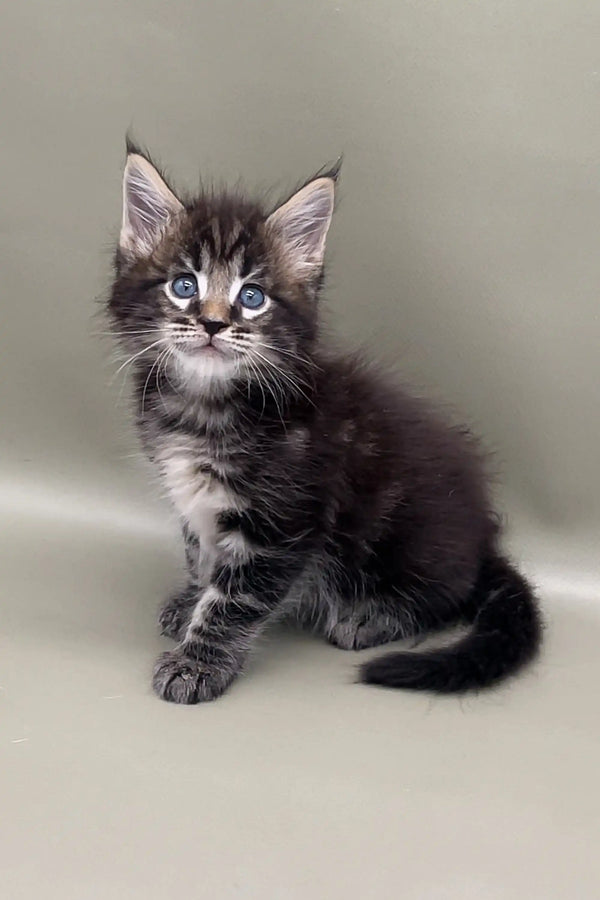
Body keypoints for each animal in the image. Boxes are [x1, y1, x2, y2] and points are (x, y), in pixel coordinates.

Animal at [109, 142, 544, 704]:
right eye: (184, 286)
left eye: (252, 296)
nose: (212, 323)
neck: (205, 405)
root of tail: (483, 538)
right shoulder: (196, 502)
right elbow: (200, 556)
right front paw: (191, 602)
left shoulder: (284, 520)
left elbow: (235, 599)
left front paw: (198, 662)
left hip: (409, 536)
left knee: (451, 593)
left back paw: (372, 616)